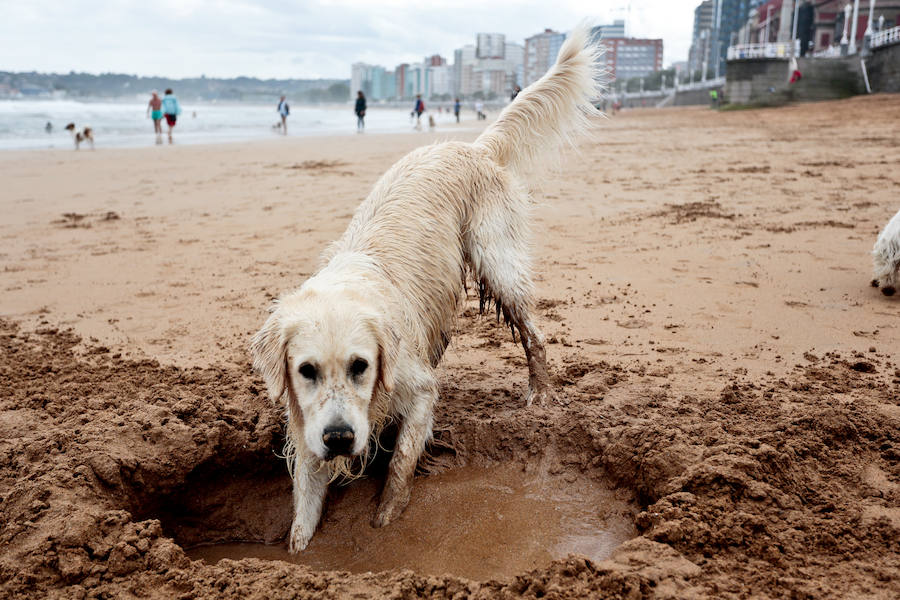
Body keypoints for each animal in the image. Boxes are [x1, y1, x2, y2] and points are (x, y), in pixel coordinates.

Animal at [250, 27, 608, 552]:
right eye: (306, 370)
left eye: (361, 366)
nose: (340, 439)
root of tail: (473, 147)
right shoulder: (307, 425)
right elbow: (303, 514)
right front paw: (301, 552)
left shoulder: (417, 388)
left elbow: (400, 462)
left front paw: (388, 520)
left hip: (497, 260)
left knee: (533, 332)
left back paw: (540, 392)